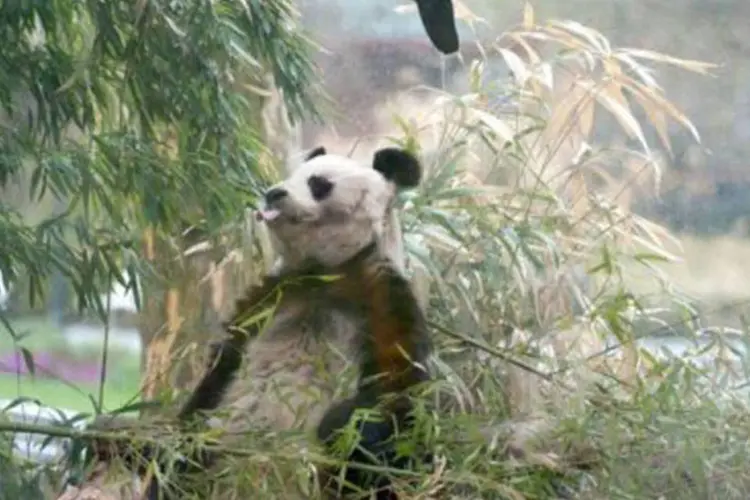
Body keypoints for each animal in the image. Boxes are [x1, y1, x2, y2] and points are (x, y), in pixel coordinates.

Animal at [63, 146, 434, 500]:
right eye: (291, 174)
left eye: (319, 183)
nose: (274, 193)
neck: (324, 269)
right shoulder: (271, 297)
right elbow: (216, 376)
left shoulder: (379, 294)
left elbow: (398, 395)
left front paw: (342, 424)